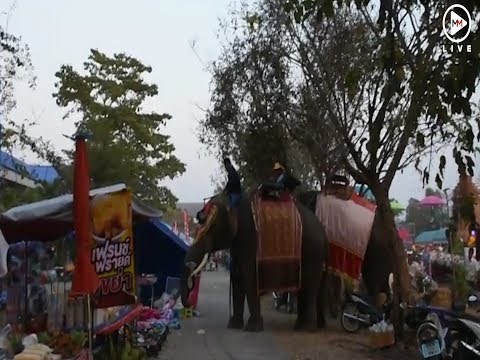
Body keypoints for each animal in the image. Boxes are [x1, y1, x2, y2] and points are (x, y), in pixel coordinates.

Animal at [180, 193, 330, 334]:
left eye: (210, 227)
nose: (190, 306)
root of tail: (323, 231)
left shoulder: (250, 238)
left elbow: (250, 279)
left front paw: (253, 328)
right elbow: (237, 278)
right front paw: (234, 326)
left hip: (313, 251)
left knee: (309, 287)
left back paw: (307, 329)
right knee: (307, 289)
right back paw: (305, 326)